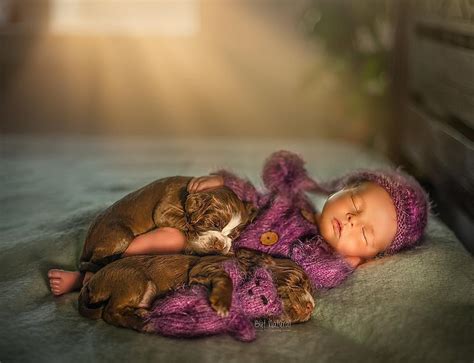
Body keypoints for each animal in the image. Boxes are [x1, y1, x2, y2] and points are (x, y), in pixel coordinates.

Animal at [78, 176, 256, 272]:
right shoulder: (163, 210)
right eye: (213, 224)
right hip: (121, 235)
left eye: (234, 235)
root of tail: (85, 244)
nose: (220, 245)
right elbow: (182, 222)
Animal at [78, 249, 314, 332]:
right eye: (297, 281)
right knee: (109, 313)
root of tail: (89, 284)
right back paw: (140, 323)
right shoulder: (204, 268)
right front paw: (222, 302)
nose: (312, 307)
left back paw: (141, 314)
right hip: (136, 279)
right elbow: (225, 277)